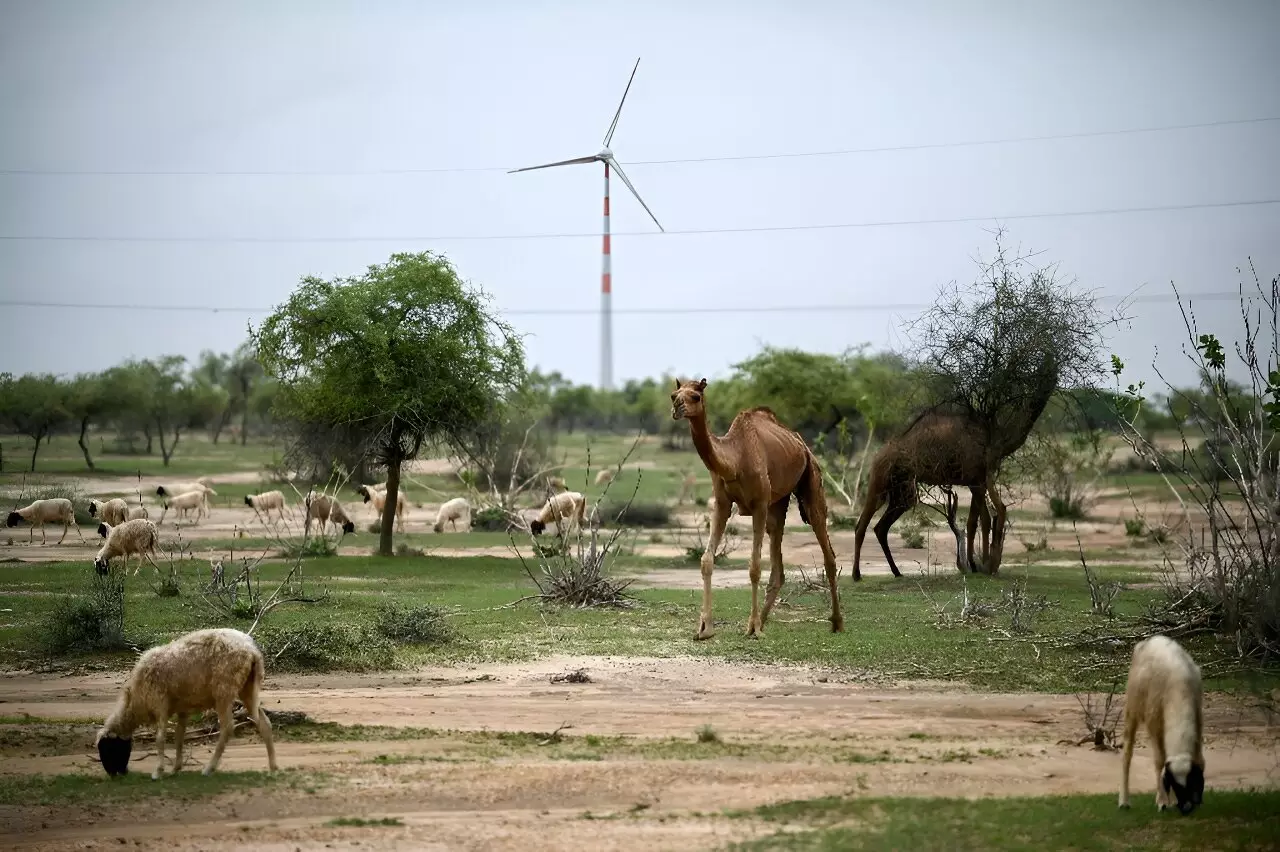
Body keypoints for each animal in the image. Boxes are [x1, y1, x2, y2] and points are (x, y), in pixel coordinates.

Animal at [96, 624, 281, 777]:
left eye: (107, 749)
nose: (114, 775)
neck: (136, 699)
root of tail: (252, 651)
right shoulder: (181, 709)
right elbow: (179, 737)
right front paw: (175, 769)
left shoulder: (159, 703)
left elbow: (160, 738)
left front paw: (158, 771)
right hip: (248, 688)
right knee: (264, 722)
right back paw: (273, 768)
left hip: (224, 690)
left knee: (228, 727)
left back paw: (209, 768)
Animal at [670, 376, 839, 637]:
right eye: (673, 394)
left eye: (695, 396)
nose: (677, 407)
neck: (735, 459)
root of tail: (802, 445)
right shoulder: (722, 503)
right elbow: (707, 560)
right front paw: (705, 628)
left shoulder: (759, 504)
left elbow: (754, 567)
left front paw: (754, 629)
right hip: (778, 502)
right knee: (778, 551)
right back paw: (762, 619)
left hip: (811, 481)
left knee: (825, 545)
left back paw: (836, 622)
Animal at [1116, 634, 1203, 813]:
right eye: (1176, 786)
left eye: (1191, 783)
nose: (1186, 808)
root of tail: (1153, 639)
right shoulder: (1153, 722)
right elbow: (1159, 761)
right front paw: (1162, 802)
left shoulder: (1198, 720)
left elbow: (1200, 759)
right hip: (1132, 707)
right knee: (1127, 752)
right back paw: (1124, 801)